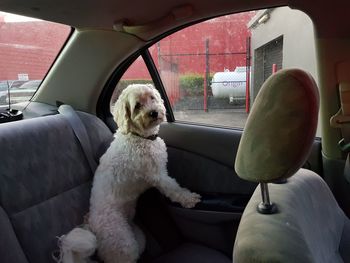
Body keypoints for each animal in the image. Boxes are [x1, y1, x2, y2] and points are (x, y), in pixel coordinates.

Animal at [58, 84, 201, 263]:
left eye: (152, 98)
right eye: (137, 105)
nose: (154, 112)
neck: (140, 137)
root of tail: (91, 225)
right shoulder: (157, 175)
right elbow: (174, 189)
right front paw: (189, 198)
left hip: (137, 236)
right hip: (123, 243)